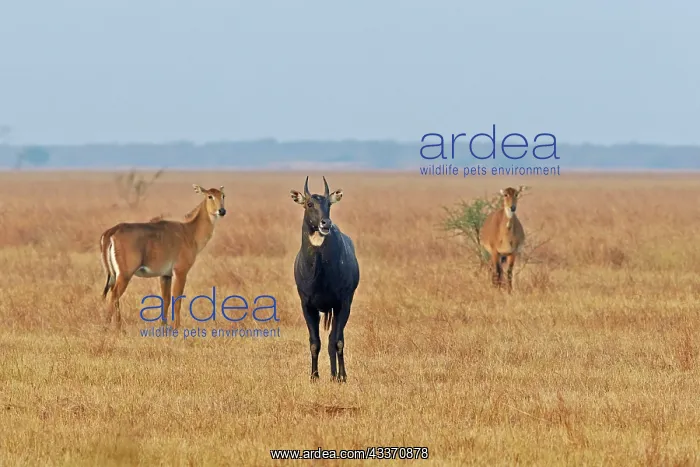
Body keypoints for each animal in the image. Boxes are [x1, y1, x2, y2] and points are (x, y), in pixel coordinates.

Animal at [99, 184, 226, 331]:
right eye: (210, 196)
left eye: (223, 195)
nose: (222, 211)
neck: (189, 231)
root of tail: (111, 232)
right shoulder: (180, 272)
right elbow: (177, 298)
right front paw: (176, 327)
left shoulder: (165, 275)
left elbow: (166, 299)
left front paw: (163, 326)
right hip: (125, 274)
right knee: (114, 295)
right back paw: (108, 326)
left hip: (115, 275)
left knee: (113, 296)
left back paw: (119, 327)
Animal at [290, 176, 360, 382]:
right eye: (309, 203)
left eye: (328, 203)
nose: (325, 223)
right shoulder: (307, 306)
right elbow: (315, 342)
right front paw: (314, 377)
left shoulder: (342, 304)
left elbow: (337, 342)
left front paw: (342, 377)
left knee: (333, 339)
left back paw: (335, 375)